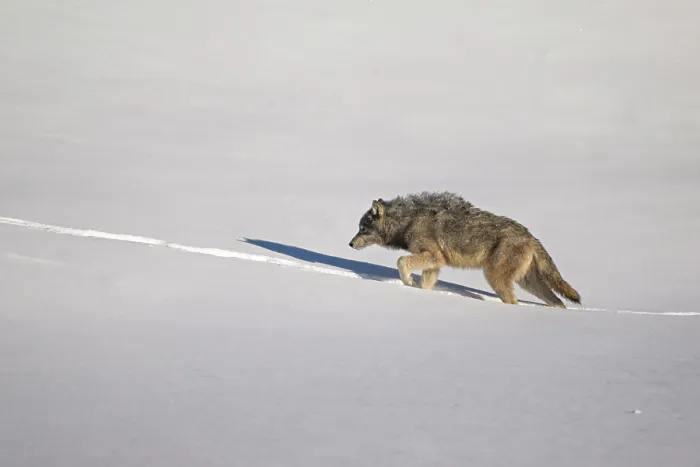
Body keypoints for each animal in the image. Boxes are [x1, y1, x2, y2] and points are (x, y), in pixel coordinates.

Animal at [348, 191, 581, 308]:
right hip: (528, 282)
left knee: (514, 301)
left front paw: (408, 283)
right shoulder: (436, 264)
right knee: (558, 302)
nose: (350, 244)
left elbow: (401, 261)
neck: (408, 221)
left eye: (362, 229)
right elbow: (426, 284)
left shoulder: (433, 256)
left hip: (495, 277)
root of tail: (531, 236)